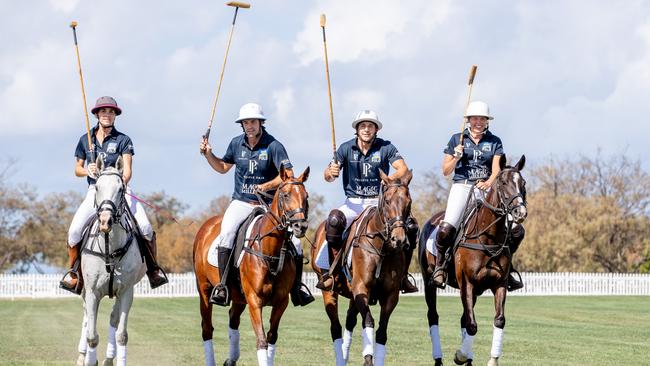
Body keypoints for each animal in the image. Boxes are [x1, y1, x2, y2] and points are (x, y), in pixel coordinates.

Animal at [75, 157, 146, 366]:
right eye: (97, 187)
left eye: (121, 189)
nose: (105, 221)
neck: (110, 246)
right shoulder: (92, 291)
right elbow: (92, 335)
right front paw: (89, 360)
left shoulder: (126, 291)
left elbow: (122, 334)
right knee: (86, 317)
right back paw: (82, 356)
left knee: (113, 319)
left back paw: (108, 358)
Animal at [192, 167, 308, 366]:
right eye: (285, 195)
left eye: (306, 196)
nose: (300, 226)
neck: (271, 251)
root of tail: (206, 226)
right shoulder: (255, 299)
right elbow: (261, 340)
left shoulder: (281, 301)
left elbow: (271, 337)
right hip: (205, 290)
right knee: (207, 328)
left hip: (238, 296)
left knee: (233, 320)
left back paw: (231, 359)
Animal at [308, 170, 410, 366]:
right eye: (387, 201)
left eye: (408, 202)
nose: (399, 239)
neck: (382, 248)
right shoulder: (361, 287)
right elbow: (369, 321)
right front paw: (368, 359)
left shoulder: (390, 294)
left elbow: (382, 332)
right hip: (329, 289)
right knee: (336, 326)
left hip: (352, 292)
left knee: (349, 321)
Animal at [418, 155, 524, 366]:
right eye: (503, 183)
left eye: (523, 183)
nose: (520, 213)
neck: (488, 238)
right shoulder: (467, 283)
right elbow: (472, 325)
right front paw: (460, 355)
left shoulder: (499, 284)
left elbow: (498, 320)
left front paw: (491, 360)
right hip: (428, 282)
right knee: (433, 316)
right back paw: (439, 358)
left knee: (462, 319)